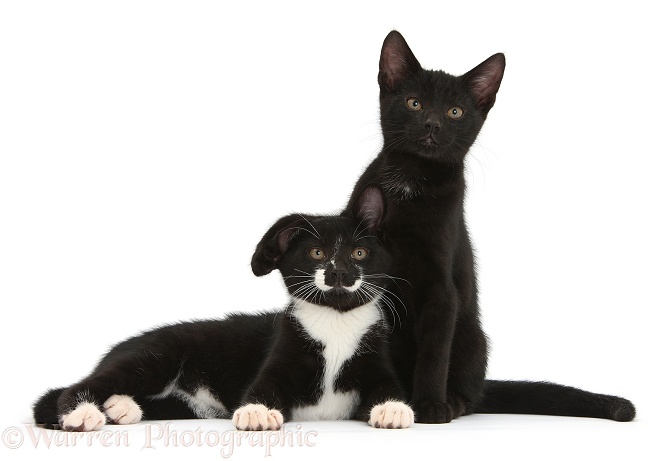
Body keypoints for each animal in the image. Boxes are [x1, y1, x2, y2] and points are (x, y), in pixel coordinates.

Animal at [35, 185, 410, 430]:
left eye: (359, 252)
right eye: (316, 253)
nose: (339, 272)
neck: (336, 322)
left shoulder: (377, 358)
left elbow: (387, 387)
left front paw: (392, 409)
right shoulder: (282, 351)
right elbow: (263, 387)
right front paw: (257, 411)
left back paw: (120, 408)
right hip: (153, 356)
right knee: (78, 386)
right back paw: (82, 413)